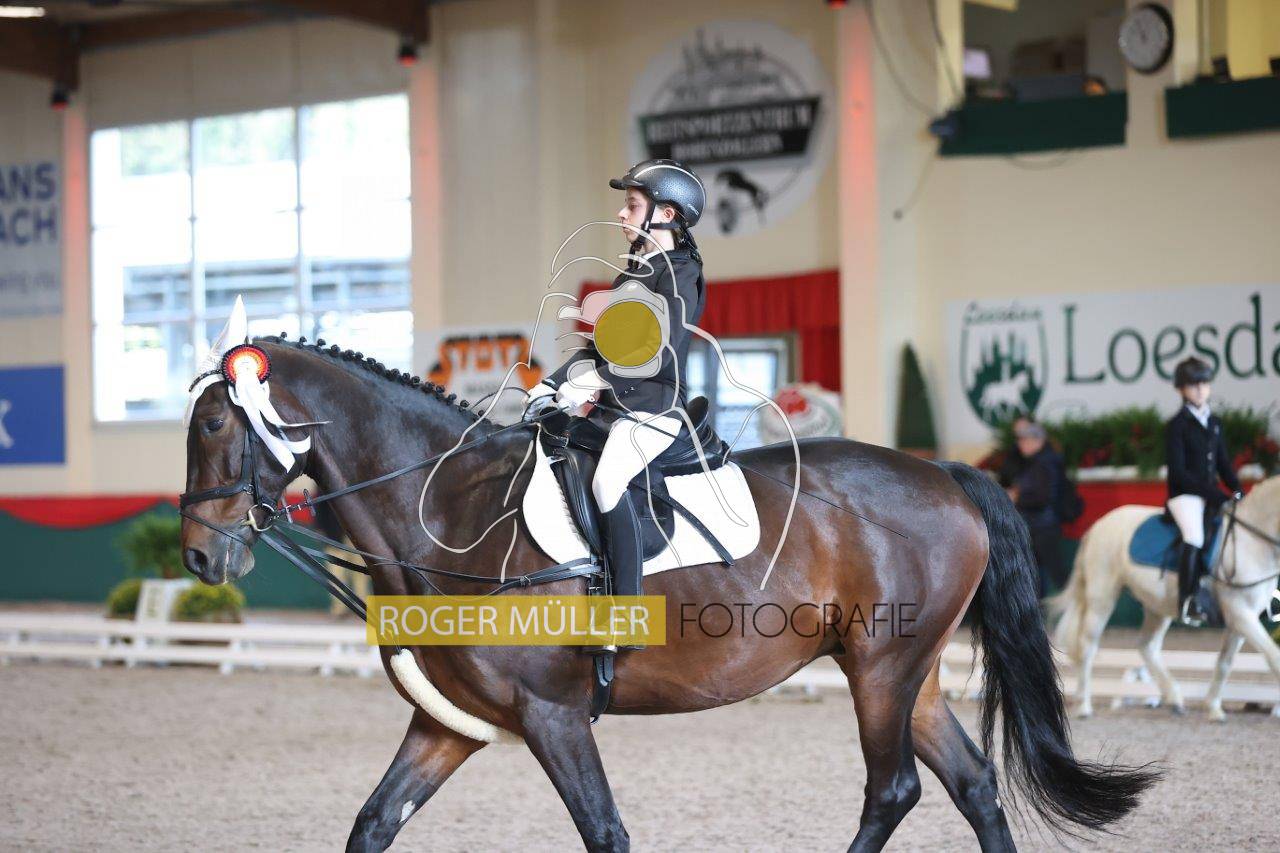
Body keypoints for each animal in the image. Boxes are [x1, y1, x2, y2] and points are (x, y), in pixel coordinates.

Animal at [179, 337, 1157, 852]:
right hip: (899, 674)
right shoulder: (448, 723)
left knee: (894, 790)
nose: (195, 554)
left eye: (219, 422)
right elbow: (373, 823)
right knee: (972, 783)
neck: (450, 513)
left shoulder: (553, 715)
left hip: (882, 669)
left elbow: (606, 832)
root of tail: (944, 473)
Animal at [1051, 476, 1280, 721]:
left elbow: (1225, 662)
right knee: (1088, 646)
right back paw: (1084, 706)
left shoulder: (1241, 618)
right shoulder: (1240, 614)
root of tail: (1097, 525)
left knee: (1147, 646)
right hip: (1102, 597)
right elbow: (1273, 656)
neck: (1253, 542)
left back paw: (1174, 698)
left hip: (1157, 607)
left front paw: (1213, 707)